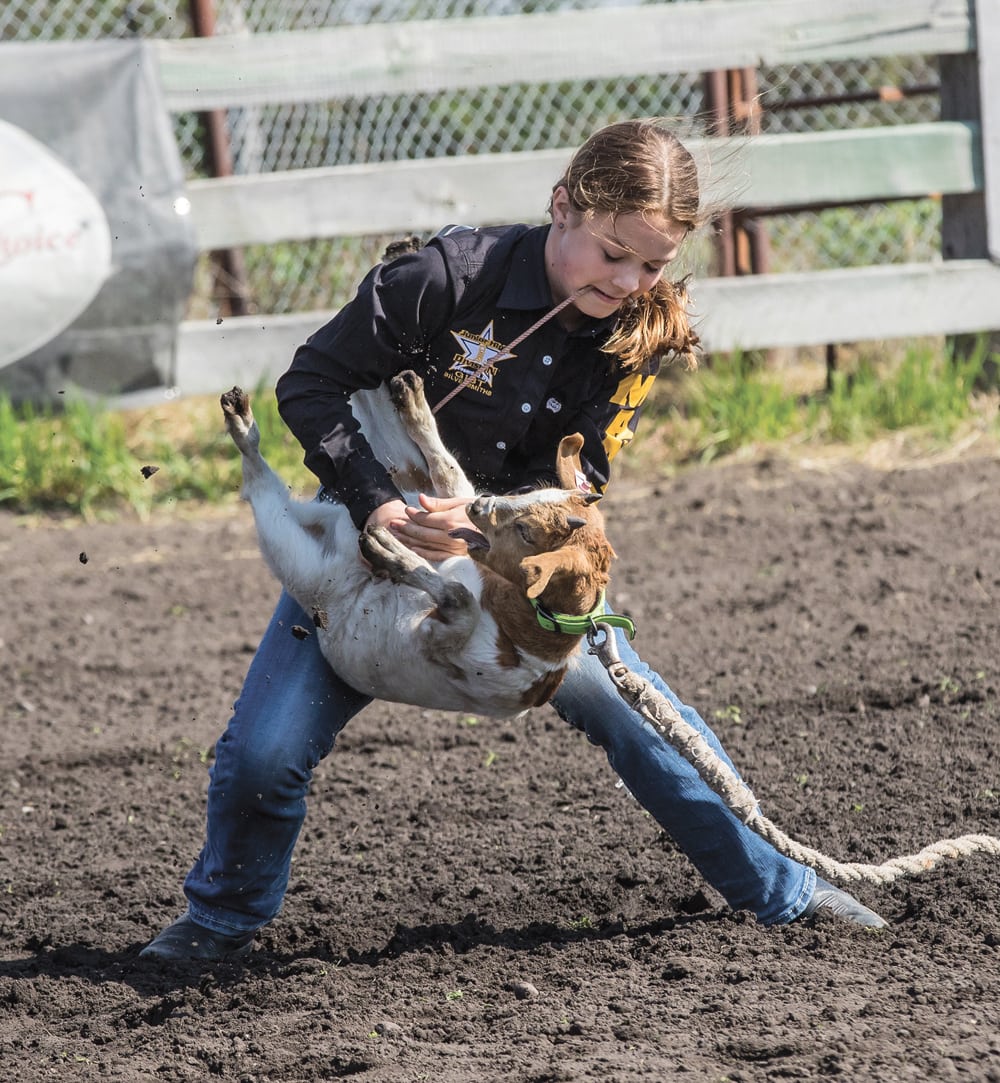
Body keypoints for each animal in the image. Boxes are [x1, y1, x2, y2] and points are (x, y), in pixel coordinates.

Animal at [220, 370, 618, 717]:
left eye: (526, 531)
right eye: (531, 494)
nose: (480, 505)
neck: (517, 632)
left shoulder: (439, 642)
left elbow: (460, 598)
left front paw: (392, 553)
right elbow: (449, 474)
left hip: (291, 548)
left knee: (258, 484)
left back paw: (242, 422)